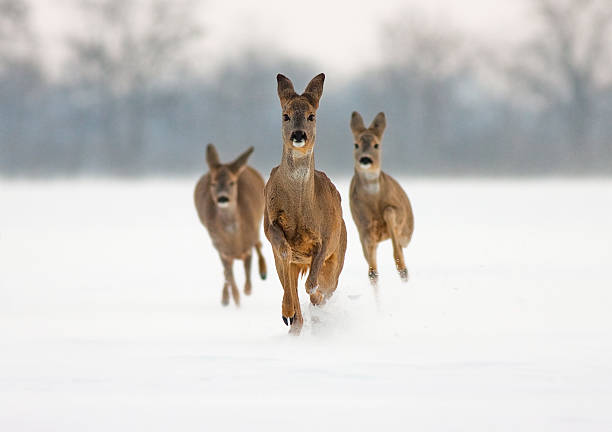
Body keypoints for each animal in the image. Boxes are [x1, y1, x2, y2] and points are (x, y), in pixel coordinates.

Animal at [194, 145, 266, 308]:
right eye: (213, 183)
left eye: (232, 183)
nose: (222, 198)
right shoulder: (221, 248)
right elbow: (229, 277)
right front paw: (236, 301)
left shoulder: (247, 244)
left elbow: (247, 273)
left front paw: (247, 291)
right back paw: (225, 299)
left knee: (259, 243)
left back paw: (263, 272)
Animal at [264, 73, 346, 334]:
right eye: (285, 115)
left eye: (312, 116)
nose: (298, 135)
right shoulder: (270, 223)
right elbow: (284, 250)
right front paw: (288, 312)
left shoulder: (327, 236)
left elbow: (313, 284)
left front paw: (315, 300)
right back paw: (291, 318)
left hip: (338, 254)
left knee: (325, 286)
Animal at [350, 111, 416, 286]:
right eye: (356, 144)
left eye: (376, 145)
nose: (365, 159)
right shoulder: (362, 225)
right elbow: (372, 269)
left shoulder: (398, 212)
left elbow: (389, 212)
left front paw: (401, 267)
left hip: (407, 232)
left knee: (401, 245)